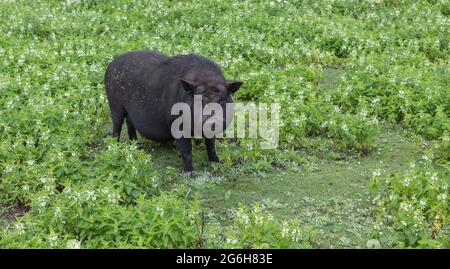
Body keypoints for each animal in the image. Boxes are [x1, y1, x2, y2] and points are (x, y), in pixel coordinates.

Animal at [104, 50, 243, 172]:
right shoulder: (178, 125)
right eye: (199, 101)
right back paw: (115, 149)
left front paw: (217, 163)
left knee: (130, 124)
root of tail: (111, 64)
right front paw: (189, 173)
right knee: (116, 127)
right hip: (115, 105)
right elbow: (186, 150)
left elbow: (211, 145)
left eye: (222, 100)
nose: (211, 121)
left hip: (128, 112)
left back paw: (138, 148)